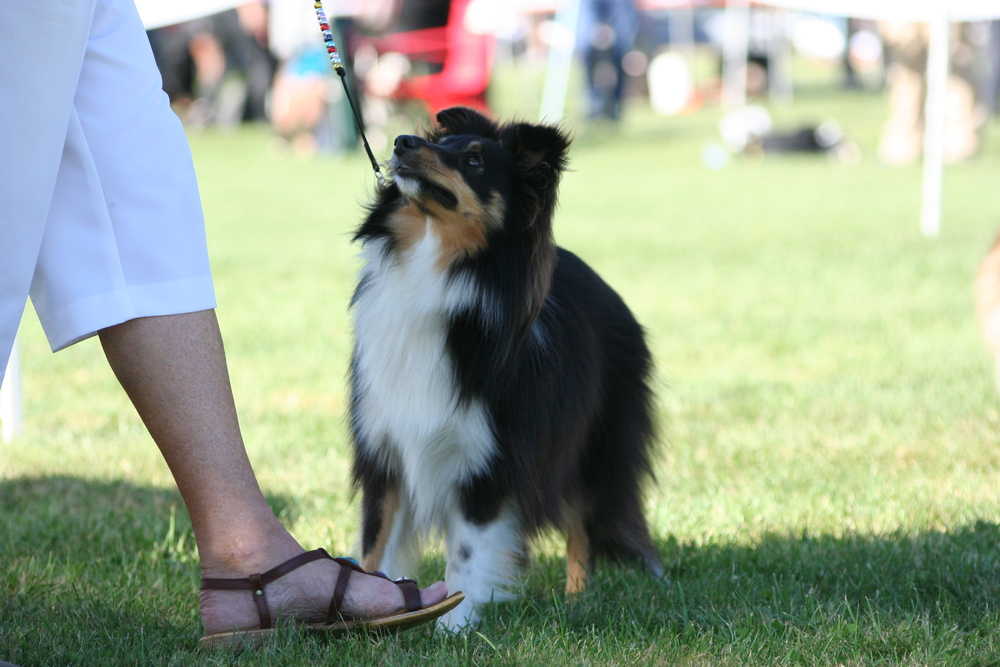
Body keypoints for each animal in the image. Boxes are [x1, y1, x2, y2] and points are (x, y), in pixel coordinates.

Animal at [348, 107, 660, 628]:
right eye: (442, 141)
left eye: (475, 161)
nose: (402, 141)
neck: (435, 267)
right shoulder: (384, 451)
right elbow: (375, 545)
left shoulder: (488, 458)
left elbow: (468, 552)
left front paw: (454, 625)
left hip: (584, 445)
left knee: (582, 524)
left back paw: (578, 600)